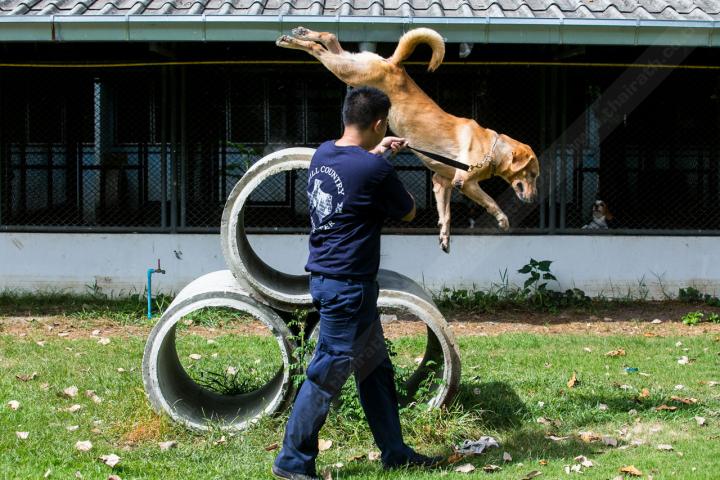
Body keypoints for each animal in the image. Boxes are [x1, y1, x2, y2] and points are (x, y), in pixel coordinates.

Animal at [278, 27, 536, 251]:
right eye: (532, 174)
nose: (533, 199)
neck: (494, 149)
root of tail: (394, 65)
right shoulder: (463, 181)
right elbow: (490, 201)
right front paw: (502, 219)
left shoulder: (442, 182)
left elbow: (446, 214)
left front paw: (444, 237)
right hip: (350, 71)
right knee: (318, 49)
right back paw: (292, 41)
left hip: (353, 67)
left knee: (330, 39)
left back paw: (300, 34)